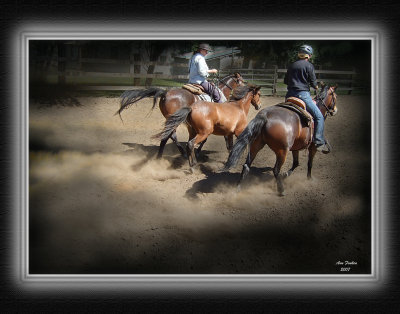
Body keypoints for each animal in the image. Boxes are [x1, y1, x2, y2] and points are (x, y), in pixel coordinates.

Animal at [115, 72, 244, 158]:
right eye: (242, 81)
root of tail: (165, 93)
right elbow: (207, 138)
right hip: (175, 120)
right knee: (169, 135)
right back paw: (179, 153)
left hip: (171, 119)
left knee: (169, 135)